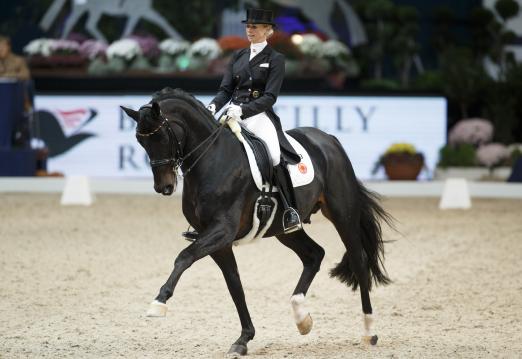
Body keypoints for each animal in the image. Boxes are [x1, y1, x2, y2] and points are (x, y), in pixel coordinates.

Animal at [121, 88, 390, 358]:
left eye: (161, 137)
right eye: (140, 141)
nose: (164, 187)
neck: (213, 160)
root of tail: (328, 139)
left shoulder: (222, 230)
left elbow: (184, 257)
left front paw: (159, 302)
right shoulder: (216, 240)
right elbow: (234, 283)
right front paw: (243, 339)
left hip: (342, 214)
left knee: (358, 260)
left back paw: (369, 331)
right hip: (285, 230)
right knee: (315, 255)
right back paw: (302, 318)